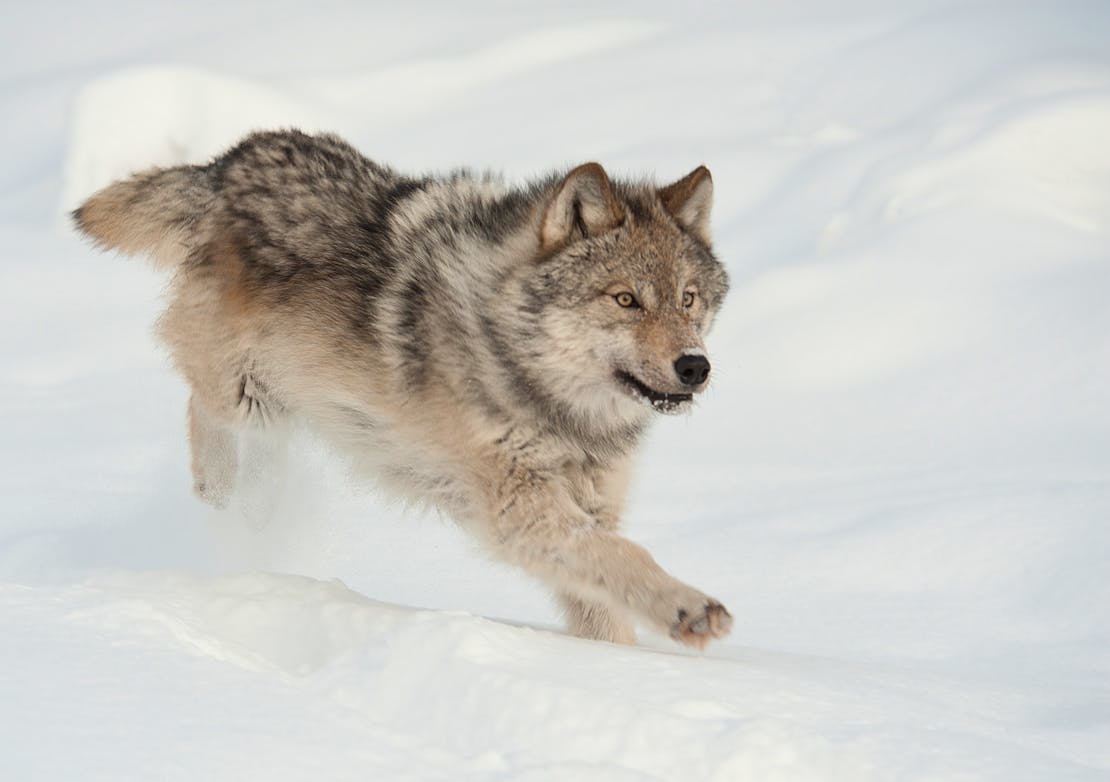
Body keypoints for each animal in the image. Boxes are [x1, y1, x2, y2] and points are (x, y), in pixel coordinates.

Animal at [74, 129, 732, 648]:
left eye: (688, 299)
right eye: (626, 300)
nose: (695, 367)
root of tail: (230, 160)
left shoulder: (591, 510)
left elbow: (606, 605)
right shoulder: (519, 511)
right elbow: (626, 556)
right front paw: (690, 609)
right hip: (246, 394)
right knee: (202, 410)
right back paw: (218, 493)